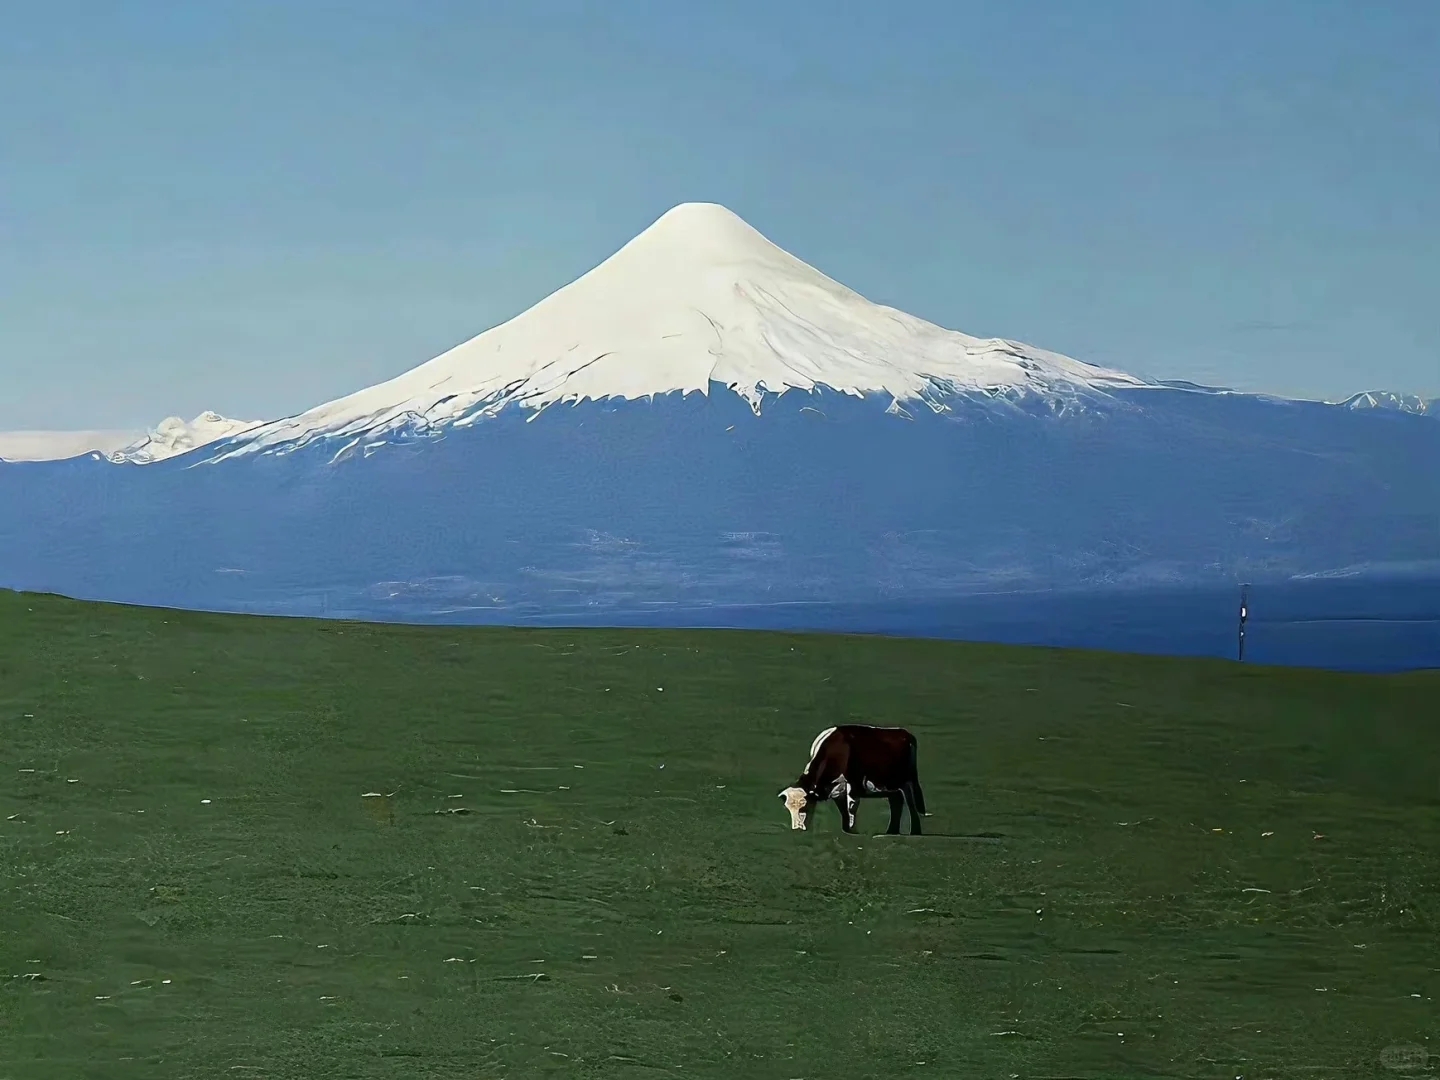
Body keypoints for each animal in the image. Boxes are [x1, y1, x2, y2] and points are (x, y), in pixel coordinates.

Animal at [783, 728, 927, 835]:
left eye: (804, 806)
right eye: (788, 808)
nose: (797, 828)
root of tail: (905, 734)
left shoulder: (854, 785)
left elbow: (851, 807)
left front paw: (853, 830)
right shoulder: (838, 789)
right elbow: (843, 809)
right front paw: (847, 829)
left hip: (906, 781)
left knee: (909, 802)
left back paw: (913, 831)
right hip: (893, 784)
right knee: (898, 801)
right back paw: (893, 831)